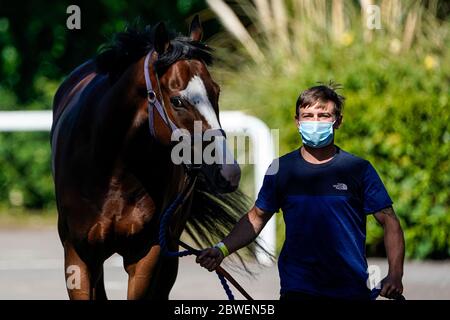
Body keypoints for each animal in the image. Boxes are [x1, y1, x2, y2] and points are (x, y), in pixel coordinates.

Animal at [51, 15, 255, 300]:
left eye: (216, 92)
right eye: (177, 100)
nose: (229, 172)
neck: (111, 173)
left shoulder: (147, 255)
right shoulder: (79, 256)